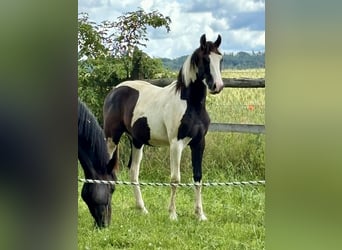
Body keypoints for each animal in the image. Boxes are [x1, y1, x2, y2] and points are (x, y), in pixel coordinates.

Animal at [103, 33, 223, 221]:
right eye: (205, 59)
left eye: (220, 59)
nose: (217, 86)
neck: (190, 104)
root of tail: (114, 91)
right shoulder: (176, 144)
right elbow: (175, 179)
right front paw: (172, 214)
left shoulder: (199, 143)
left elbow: (198, 177)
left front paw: (200, 215)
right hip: (111, 139)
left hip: (137, 142)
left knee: (133, 172)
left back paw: (142, 209)